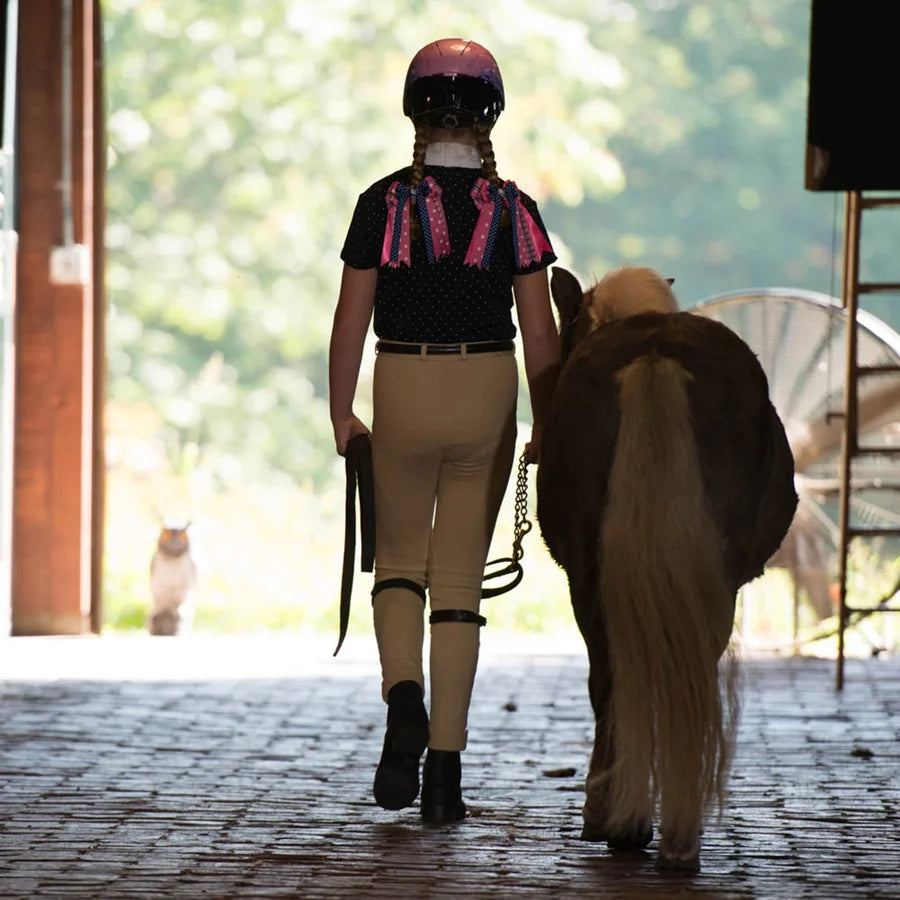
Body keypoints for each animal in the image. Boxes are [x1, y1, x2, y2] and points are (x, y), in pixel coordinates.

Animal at [536, 265, 797, 871]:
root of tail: (655, 354)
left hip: (592, 578)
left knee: (613, 680)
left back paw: (626, 821)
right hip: (712, 577)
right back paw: (674, 833)